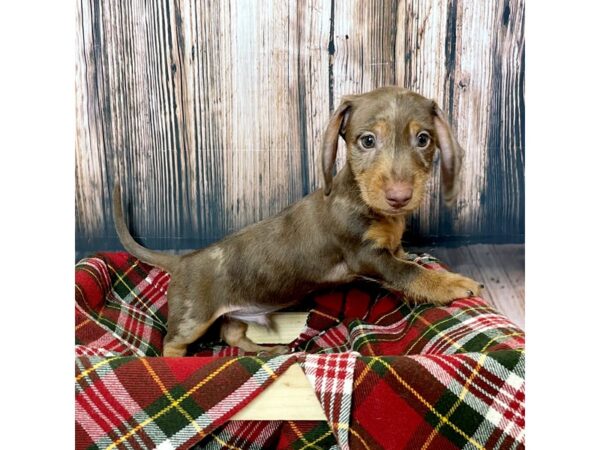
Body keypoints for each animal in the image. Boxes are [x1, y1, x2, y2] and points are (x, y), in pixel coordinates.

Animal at [113, 86, 482, 356]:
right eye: (367, 140)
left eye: (424, 139)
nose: (399, 196)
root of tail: (181, 261)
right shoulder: (366, 255)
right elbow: (408, 272)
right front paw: (451, 283)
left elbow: (406, 256)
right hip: (194, 317)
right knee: (172, 342)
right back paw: (180, 363)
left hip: (233, 314)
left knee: (233, 334)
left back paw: (267, 350)